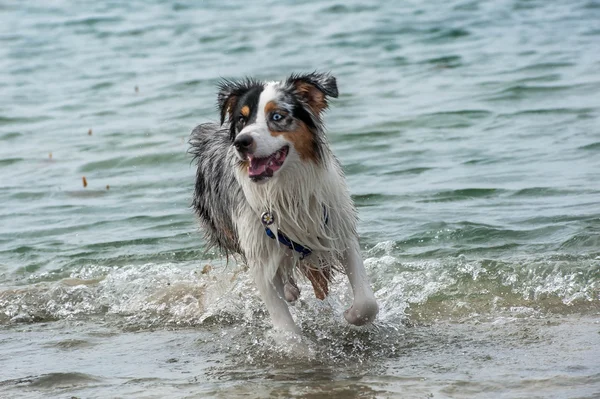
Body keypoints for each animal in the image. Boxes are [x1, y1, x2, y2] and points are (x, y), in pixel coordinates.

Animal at [191, 72, 380, 334]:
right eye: (241, 118)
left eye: (277, 116)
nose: (241, 142)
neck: (285, 186)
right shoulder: (259, 251)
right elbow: (284, 324)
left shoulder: (338, 227)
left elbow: (367, 303)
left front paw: (350, 314)